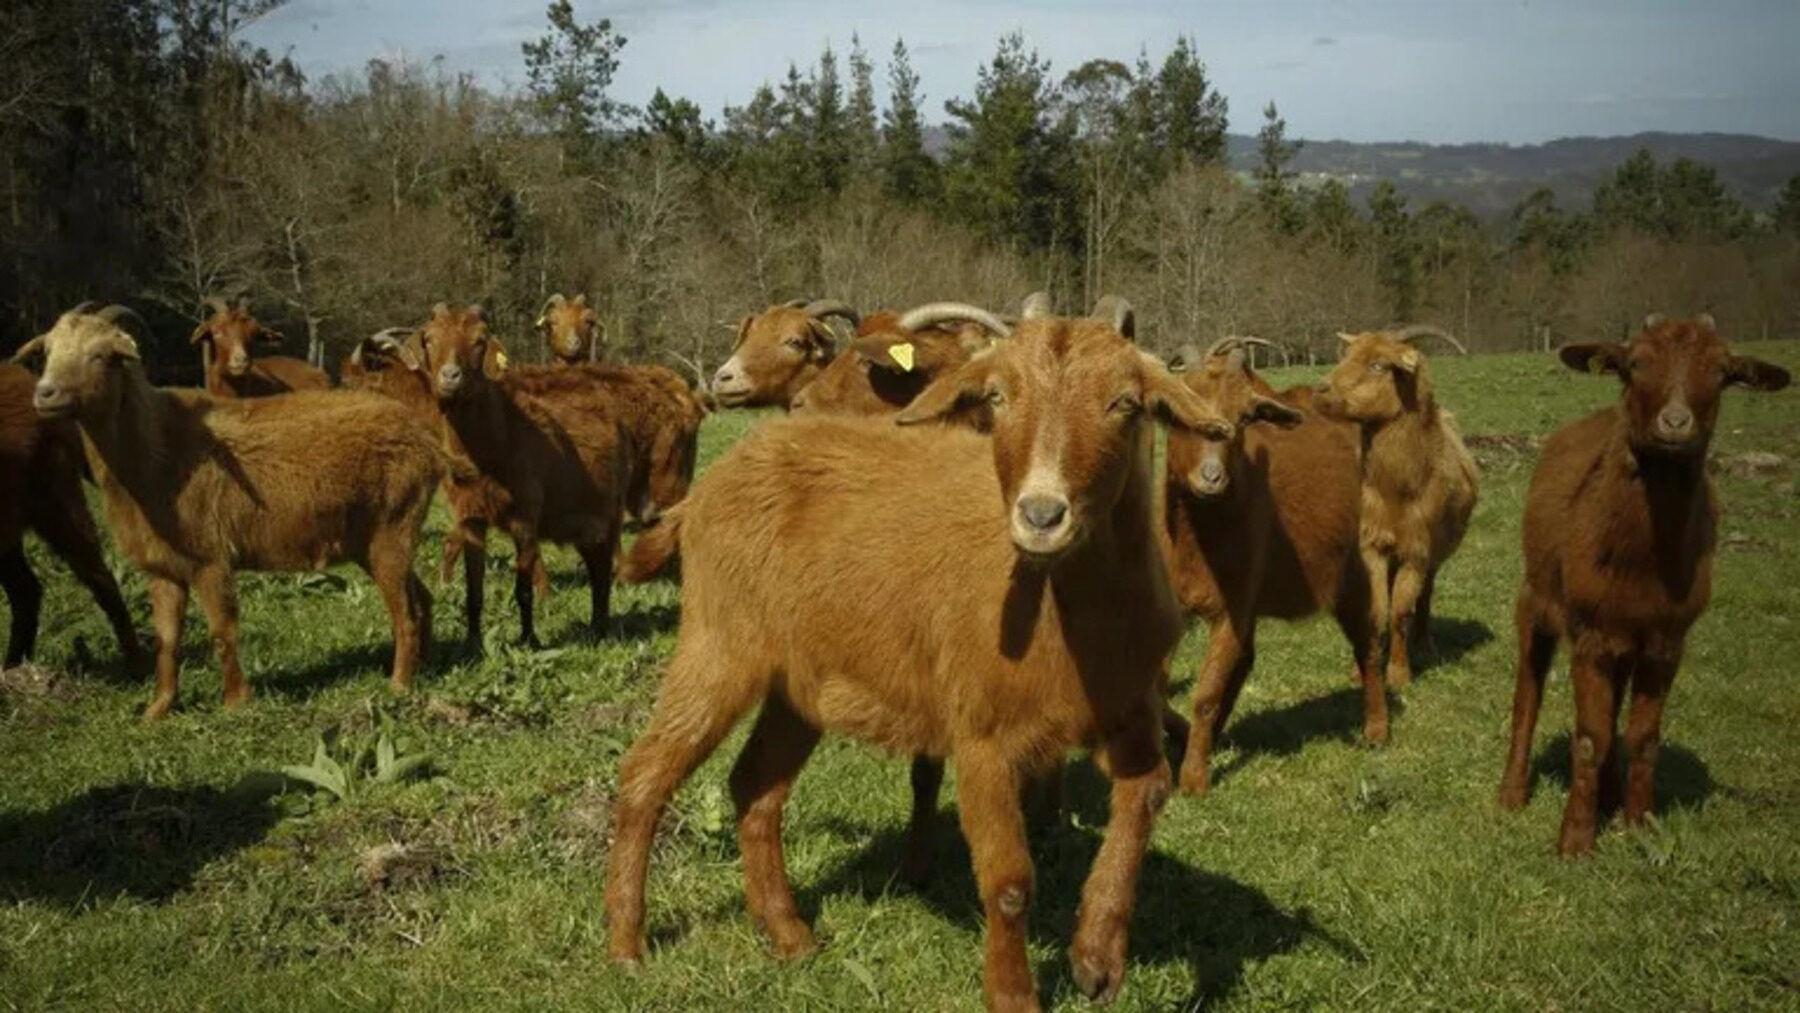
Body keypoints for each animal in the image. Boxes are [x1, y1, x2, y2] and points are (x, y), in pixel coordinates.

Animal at [411, 304, 633, 647]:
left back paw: (602, 629)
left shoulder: (525, 516)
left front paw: (529, 640)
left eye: (480, 341)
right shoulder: (470, 517)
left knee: (604, 567)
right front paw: (473, 643)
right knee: (596, 562)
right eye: (429, 339)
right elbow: (473, 589)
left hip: (609, 509)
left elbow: (524, 589)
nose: (450, 376)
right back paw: (596, 627)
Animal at [605, 307, 1234, 1013]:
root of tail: (717, 479)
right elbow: (1009, 882)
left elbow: (1147, 794)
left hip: (800, 685)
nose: (1042, 515)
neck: (1065, 614)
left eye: (1126, 403)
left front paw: (1097, 955)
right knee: (646, 773)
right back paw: (626, 943)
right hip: (718, 643)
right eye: (997, 397)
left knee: (754, 786)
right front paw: (1013, 995)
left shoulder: (1130, 709)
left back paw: (788, 933)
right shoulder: (982, 737)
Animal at [1162, 337, 1384, 795]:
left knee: (1368, 645)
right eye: (1179, 411)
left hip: (1351, 573)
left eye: (1245, 417)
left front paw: (1193, 779)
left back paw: (1376, 730)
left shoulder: (1231, 608)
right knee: (1245, 660)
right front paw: (1181, 741)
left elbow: (1206, 694)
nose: (1212, 477)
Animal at [1314, 326, 1479, 686]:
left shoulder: (1417, 550)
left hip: (1434, 554)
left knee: (1426, 594)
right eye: (1347, 355)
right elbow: (1378, 609)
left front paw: (1399, 673)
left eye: (1379, 365)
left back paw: (1425, 643)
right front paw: (1362, 669)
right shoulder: (1372, 543)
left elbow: (1402, 611)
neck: (1396, 490)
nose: (1321, 391)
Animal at [1498, 314, 1788, 855]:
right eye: (1634, 363)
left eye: (1722, 371)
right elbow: (1588, 737)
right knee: (1528, 694)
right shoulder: (1589, 634)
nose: (1675, 423)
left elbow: (1642, 736)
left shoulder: (1666, 640)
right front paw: (1574, 841)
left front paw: (1638, 823)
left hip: (1628, 643)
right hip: (1536, 599)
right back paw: (1512, 793)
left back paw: (1610, 800)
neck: (1641, 560)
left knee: (1615, 713)